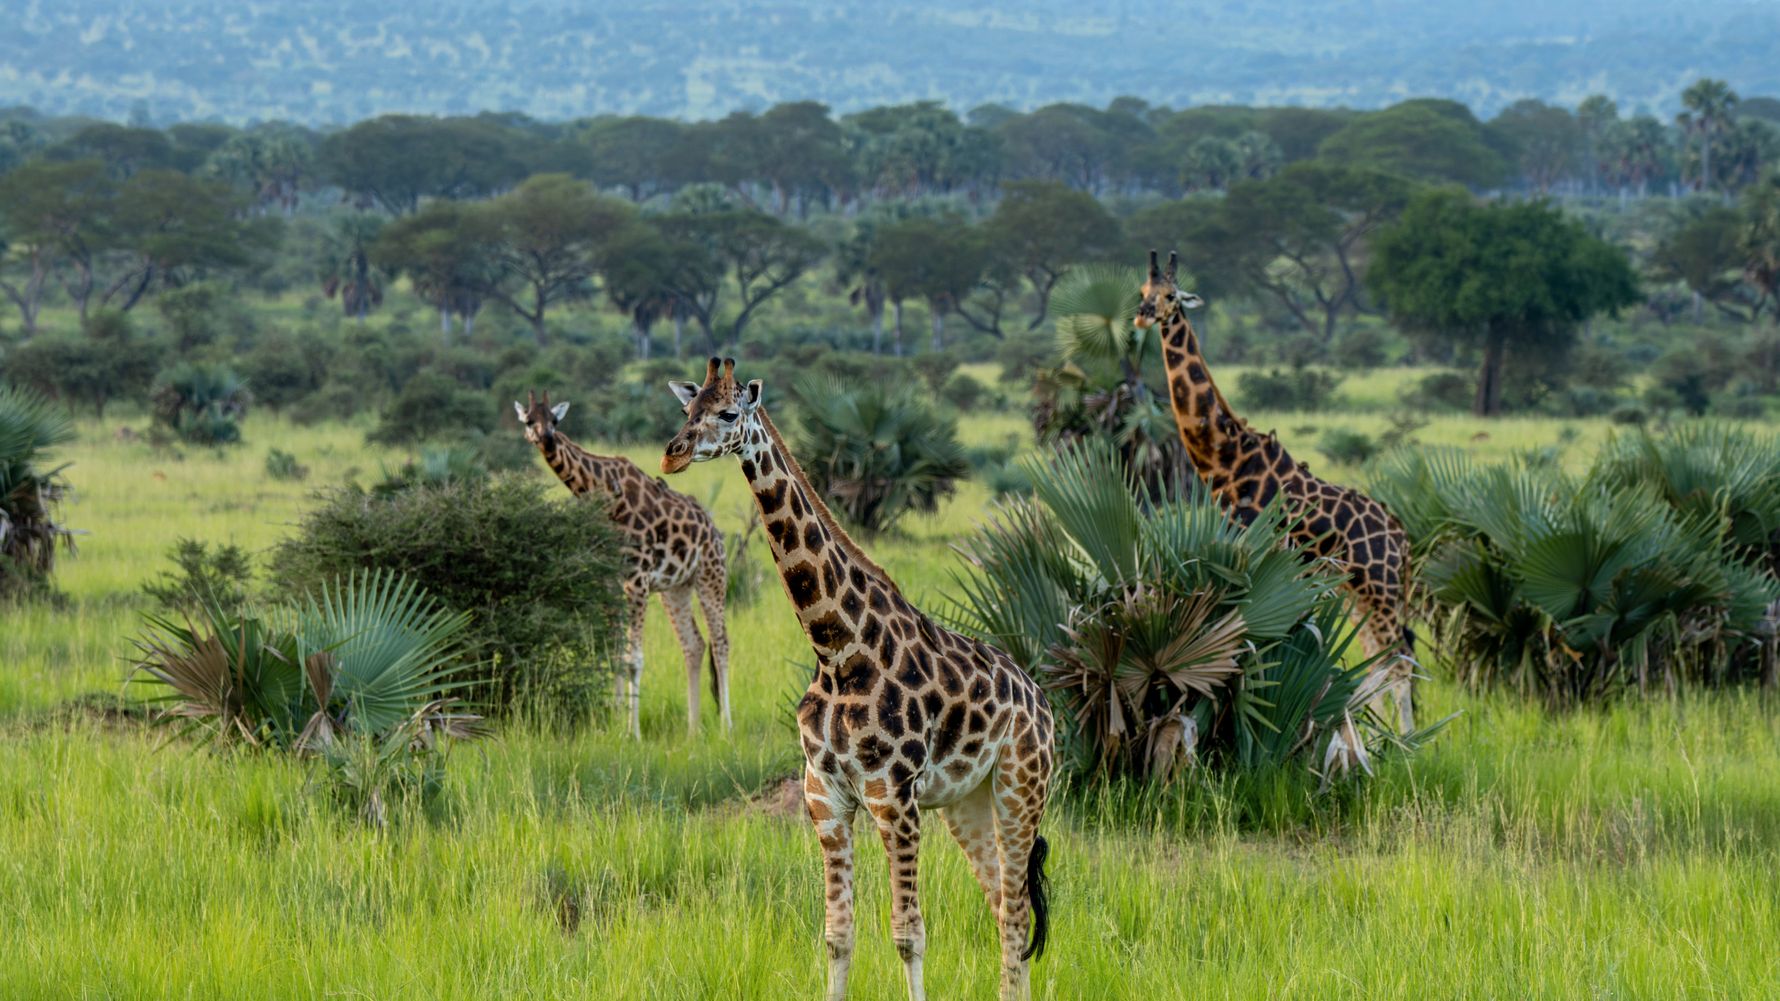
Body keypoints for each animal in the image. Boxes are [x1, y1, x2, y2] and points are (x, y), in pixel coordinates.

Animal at [514, 390, 730, 738]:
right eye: (529, 420)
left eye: (555, 420)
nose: (546, 438)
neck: (599, 492)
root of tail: (715, 530)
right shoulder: (610, 581)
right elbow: (615, 651)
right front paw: (615, 720)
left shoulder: (637, 579)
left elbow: (634, 658)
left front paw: (634, 732)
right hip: (677, 588)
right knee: (694, 645)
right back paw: (692, 728)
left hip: (711, 576)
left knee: (721, 643)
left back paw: (726, 726)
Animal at [663, 358, 1055, 1001]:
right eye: (685, 410)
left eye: (728, 413)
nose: (672, 456)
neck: (835, 648)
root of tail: (1042, 700)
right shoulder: (825, 795)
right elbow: (837, 934)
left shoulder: (893, 797)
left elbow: (908, 933)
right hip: (966, 801)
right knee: (1003, 904)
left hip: (1021, 785)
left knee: (1019, 909)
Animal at [1134, 251, 1417, 735]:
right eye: (1142, 291)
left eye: (1171, 296)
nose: (1142, 315)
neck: (1227, 462)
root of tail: (1401, 540)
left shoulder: (1257, 556)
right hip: (1358, 594)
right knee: (1379, 662)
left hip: (1380, 590)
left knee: (1398, 663)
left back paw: (1407, 743)